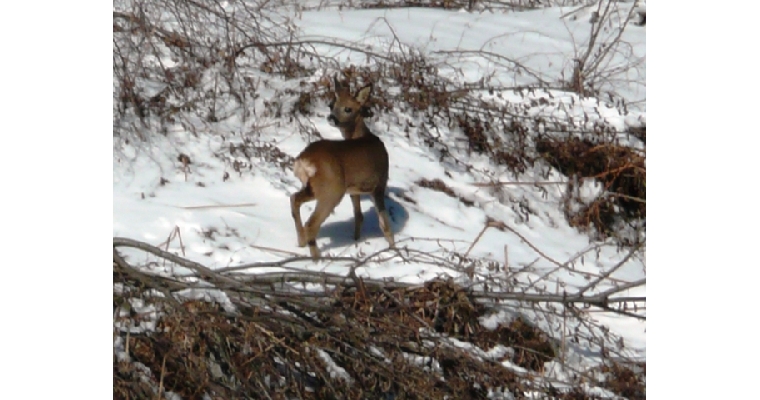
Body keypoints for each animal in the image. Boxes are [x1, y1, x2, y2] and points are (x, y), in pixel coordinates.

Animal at [290, 75, 395, 259]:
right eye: (332, 105)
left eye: (348, 108)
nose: (332, 118)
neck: (363, 135)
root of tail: (304, 160)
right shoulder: (380, 183)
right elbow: (385, 224)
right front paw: (395, 250)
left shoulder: (354, 190)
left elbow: (359, 215)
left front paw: (356, 239)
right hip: (332, 189)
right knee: (312, 223)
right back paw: (317, 258)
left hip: (314, 187)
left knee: (294, 199)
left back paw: (301, 242)